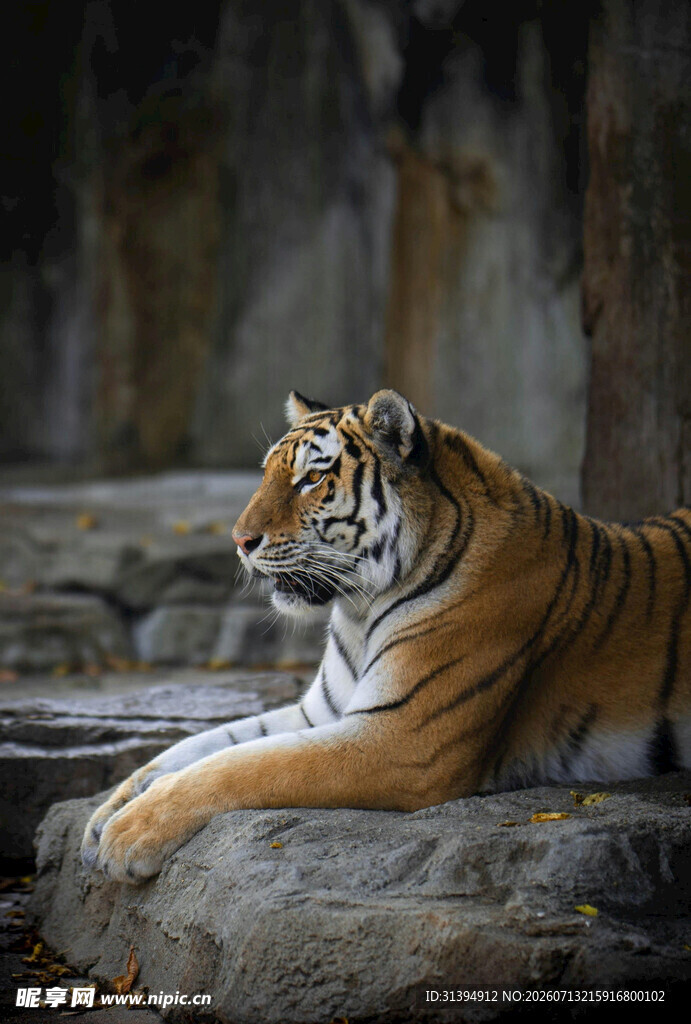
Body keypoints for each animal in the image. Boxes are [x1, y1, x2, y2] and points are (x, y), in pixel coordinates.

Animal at [81, 388, 691, 882]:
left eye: (311, 478)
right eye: (267, 474)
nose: (239, 540)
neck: (359, 609)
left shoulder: (401, 739)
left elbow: (242, 765)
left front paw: (129, 833)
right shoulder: (321, 713)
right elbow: (201, 745)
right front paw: (106, 813)